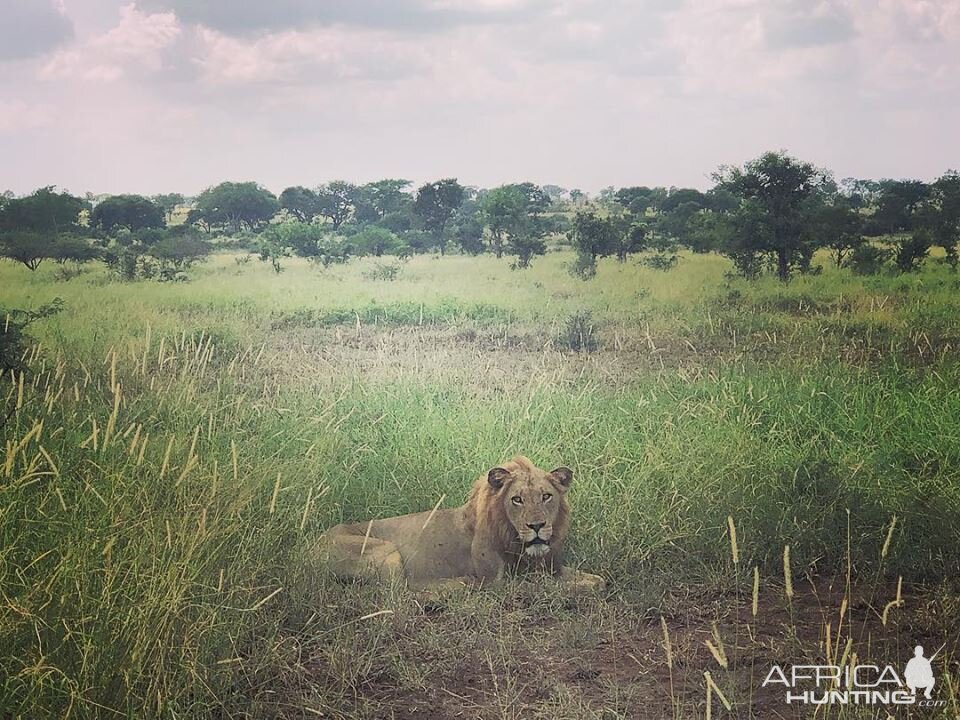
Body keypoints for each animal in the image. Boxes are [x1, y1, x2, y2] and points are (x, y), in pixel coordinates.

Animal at [318, 456, 604, 592]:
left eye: (546, 496)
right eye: (517, 499)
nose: (537, 526)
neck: (515, 540)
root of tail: (311, 546)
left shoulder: (548, 568)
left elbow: (598, 580)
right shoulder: (498, 583)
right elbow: (545, 587)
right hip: (387, 551)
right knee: (400, 594)